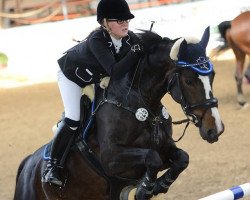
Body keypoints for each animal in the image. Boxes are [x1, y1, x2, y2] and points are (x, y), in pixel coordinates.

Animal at [13, 27, 225, 200]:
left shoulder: (165, 148)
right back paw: (52, 174)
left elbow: (182, 158)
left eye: (213, 75)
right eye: (189, 80)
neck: (141, 102)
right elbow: (152, 158)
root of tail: (28, 164)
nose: (215, 129)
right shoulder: (112, 160)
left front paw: (158, 186)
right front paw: (145, 189)